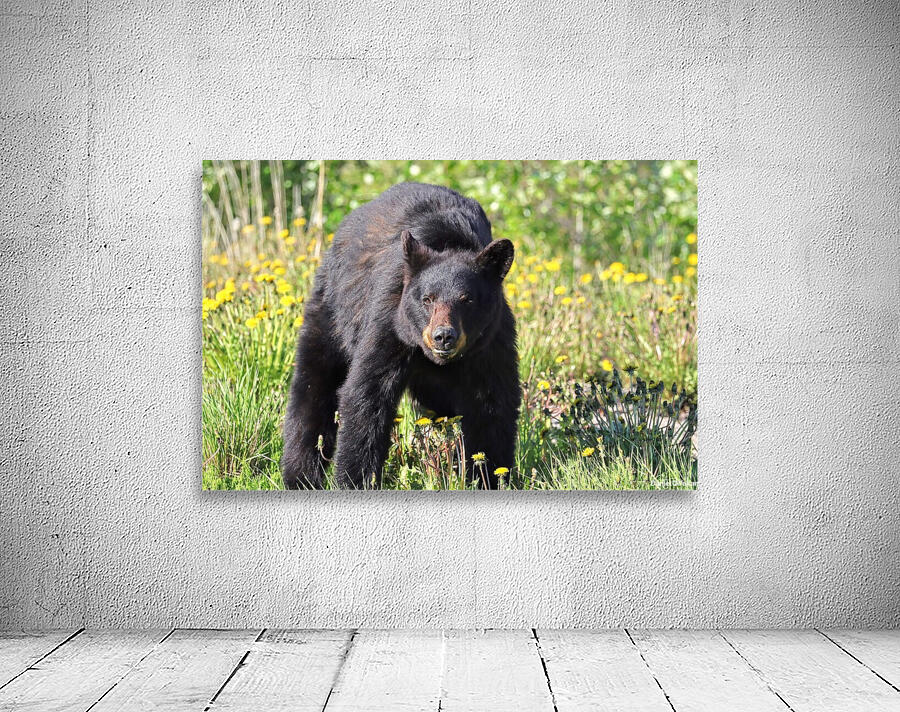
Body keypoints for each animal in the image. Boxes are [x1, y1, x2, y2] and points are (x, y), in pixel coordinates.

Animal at [281, 181, 521, 490]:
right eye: (427, 299)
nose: (444, 336)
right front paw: (355, 480)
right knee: (314, 387)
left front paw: (489, 477)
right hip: (333, 313)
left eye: (467, 300)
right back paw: (300, 476)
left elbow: (492, 405)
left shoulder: (491, 342)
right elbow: (367, 395)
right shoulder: (390, 321)